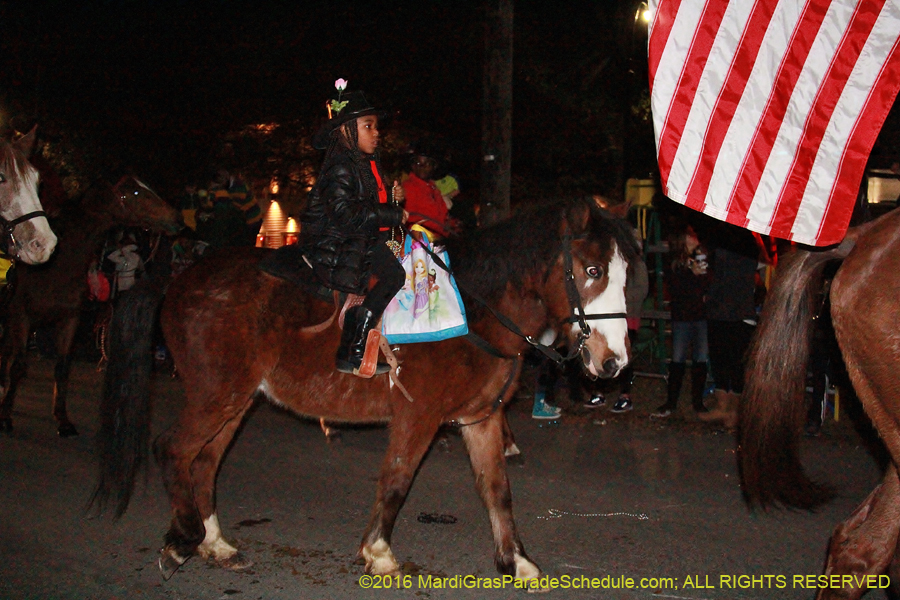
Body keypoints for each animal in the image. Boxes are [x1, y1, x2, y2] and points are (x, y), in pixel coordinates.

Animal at [0, 175, 183, 436]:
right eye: (137, 192)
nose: (177, 219)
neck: (56, 266)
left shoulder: (70, 319)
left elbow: (62, 367)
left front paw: (63, 419)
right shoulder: (20, 317)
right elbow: (17, 366)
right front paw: (6, 416)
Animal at [93, 199, 640, 584]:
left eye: (625, 275)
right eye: (593, 271)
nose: (613, 361)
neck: (476, 311)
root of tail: (178, 279)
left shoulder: (480, 419)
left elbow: (497, 491)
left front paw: (517, 561)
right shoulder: (419, 417)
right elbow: (397, 479)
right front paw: (378, 551)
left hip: (238, 399)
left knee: (203, 461)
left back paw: (214, 542)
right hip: (216, 394)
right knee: (172, 448)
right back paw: (182, 541)